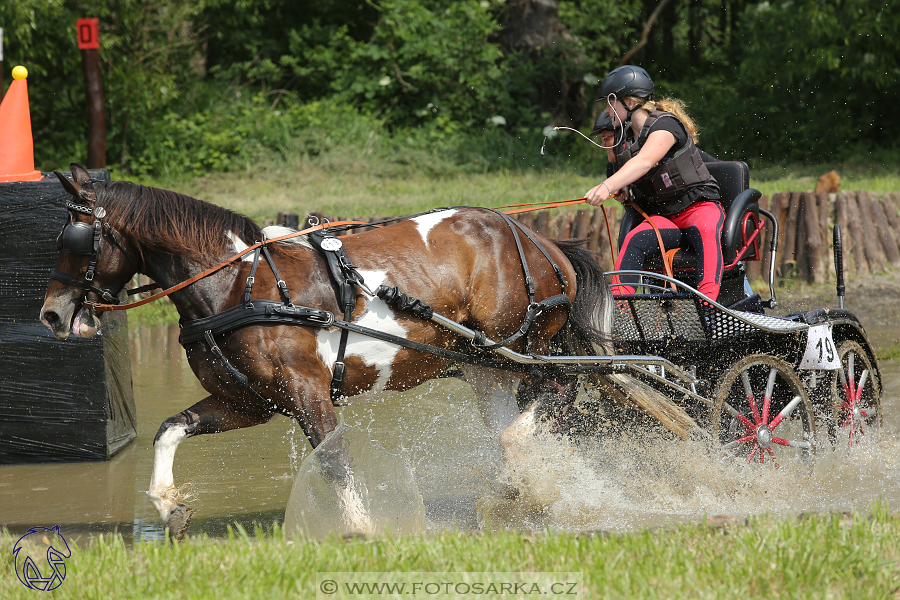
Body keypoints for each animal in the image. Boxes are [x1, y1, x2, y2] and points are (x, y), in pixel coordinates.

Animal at [38, 164, 692, 540]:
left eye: (75, 237)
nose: (49, 312)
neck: (239, 283)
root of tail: (544, 243)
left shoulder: (305, 391)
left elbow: (334, 459)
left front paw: (360, 528)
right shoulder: (248, 402)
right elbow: (169, 429)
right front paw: (168, 504)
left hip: (517, 349)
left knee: (559, 392)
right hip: (485, 370)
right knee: (522, 418)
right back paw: (515, 490)